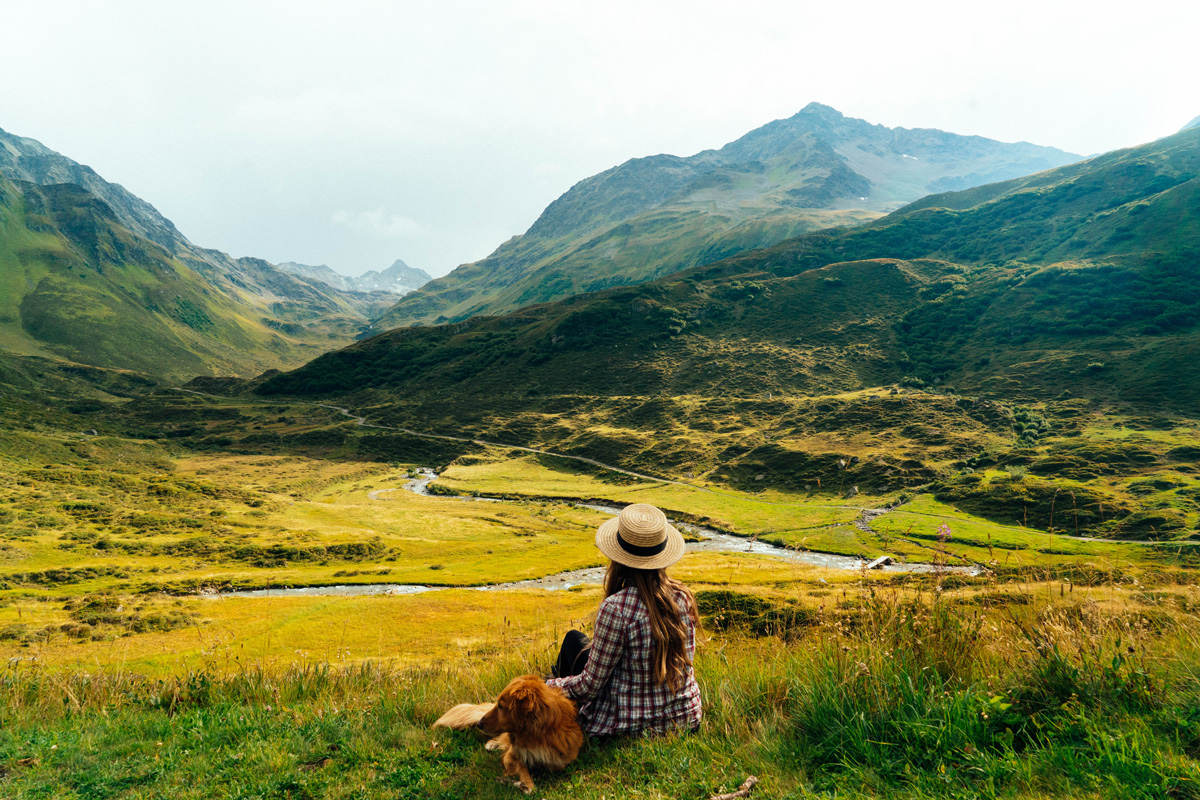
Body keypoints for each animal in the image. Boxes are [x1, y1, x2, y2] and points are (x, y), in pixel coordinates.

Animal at [434, 676, 583, 796]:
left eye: (501, 706)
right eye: (497, 704)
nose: (479, 723)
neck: (535, 735)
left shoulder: (558, 760)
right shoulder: (511, 756)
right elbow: (522, 770)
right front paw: (527, 785)